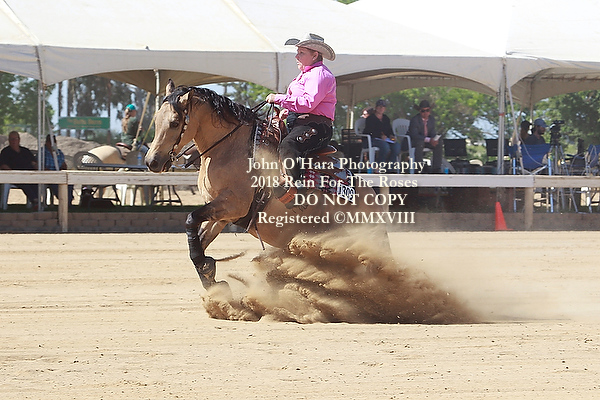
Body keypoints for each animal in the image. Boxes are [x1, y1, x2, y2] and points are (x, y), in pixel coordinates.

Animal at [145, 80, 388, 289]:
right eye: (156, 119)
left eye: (175, 122)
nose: (151, 161)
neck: (228, 149)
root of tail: (372, 197)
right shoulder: (221, 214)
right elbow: (199, 237)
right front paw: (209, 275)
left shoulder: (233, 204)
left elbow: (190, 218)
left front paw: (208, 270)